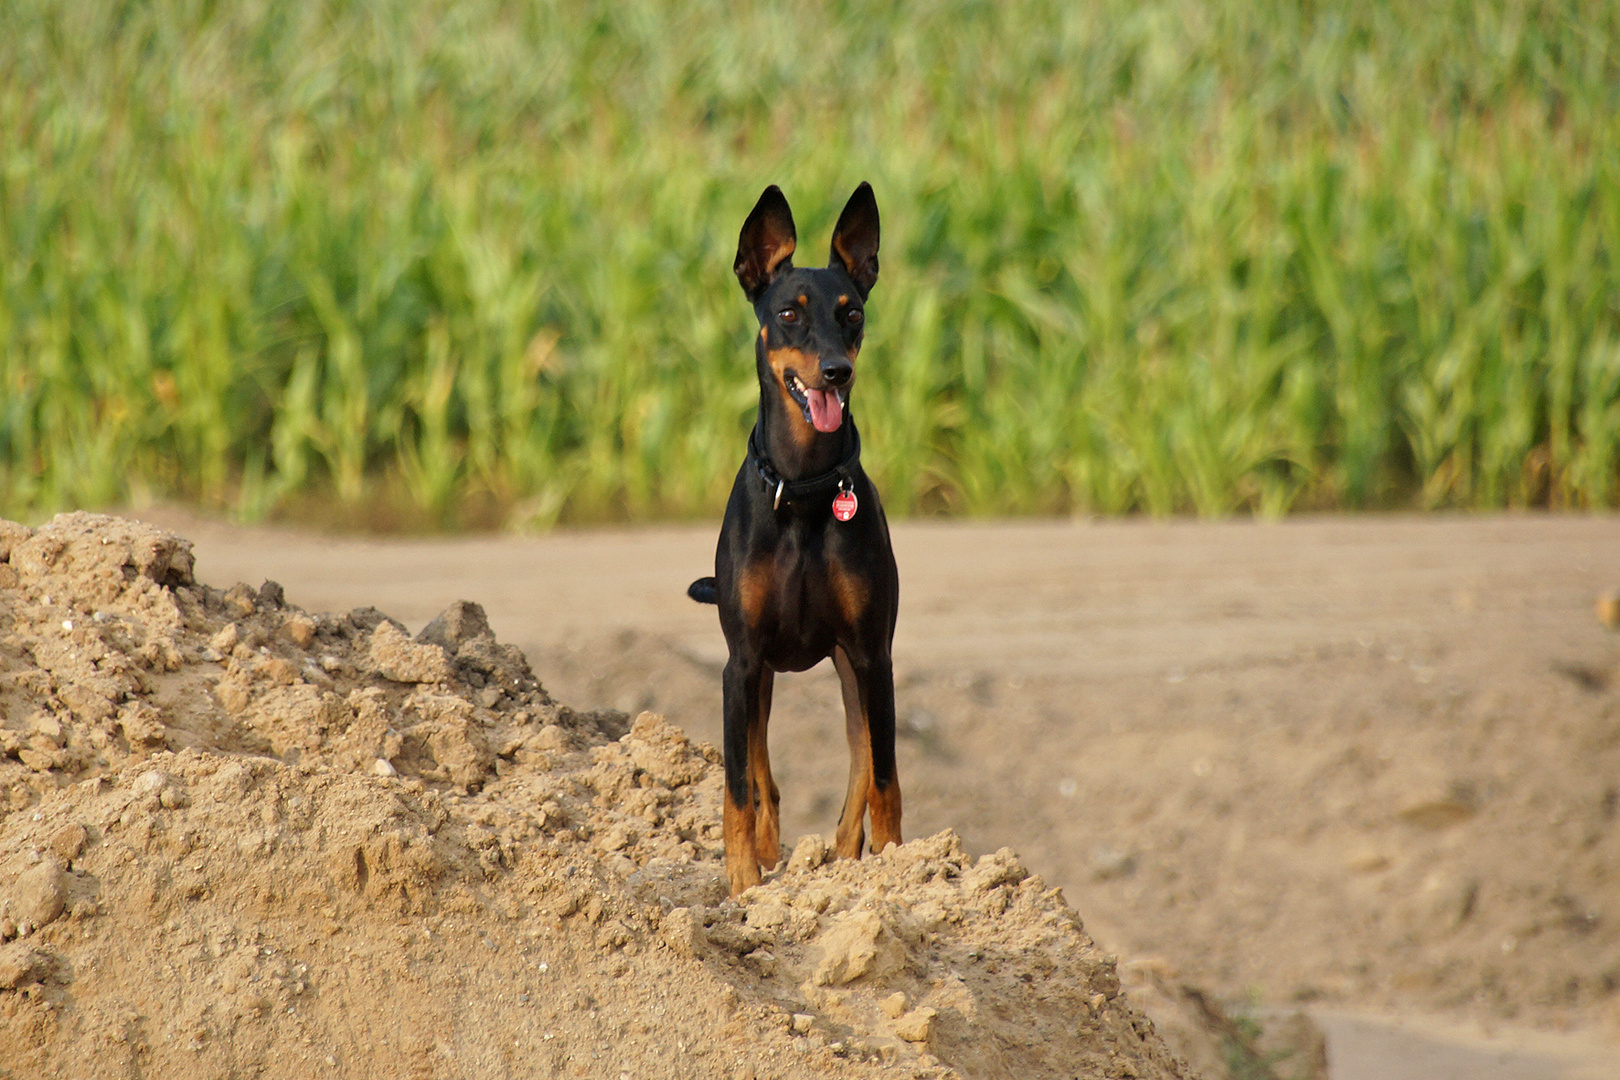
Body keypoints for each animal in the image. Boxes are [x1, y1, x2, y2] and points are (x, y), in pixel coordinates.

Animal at [690, 183, 907, 893]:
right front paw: (741, 883)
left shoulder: (871, 653)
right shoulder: (741, 662)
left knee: (864, 759)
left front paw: (900, 870)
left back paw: (846, 852)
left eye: (853, 314)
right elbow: (738, 785)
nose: (837, 371)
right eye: (788, 313)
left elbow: (884, 777)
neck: (807, 490)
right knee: (762, 769)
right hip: (759, 675)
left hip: (854, 667)